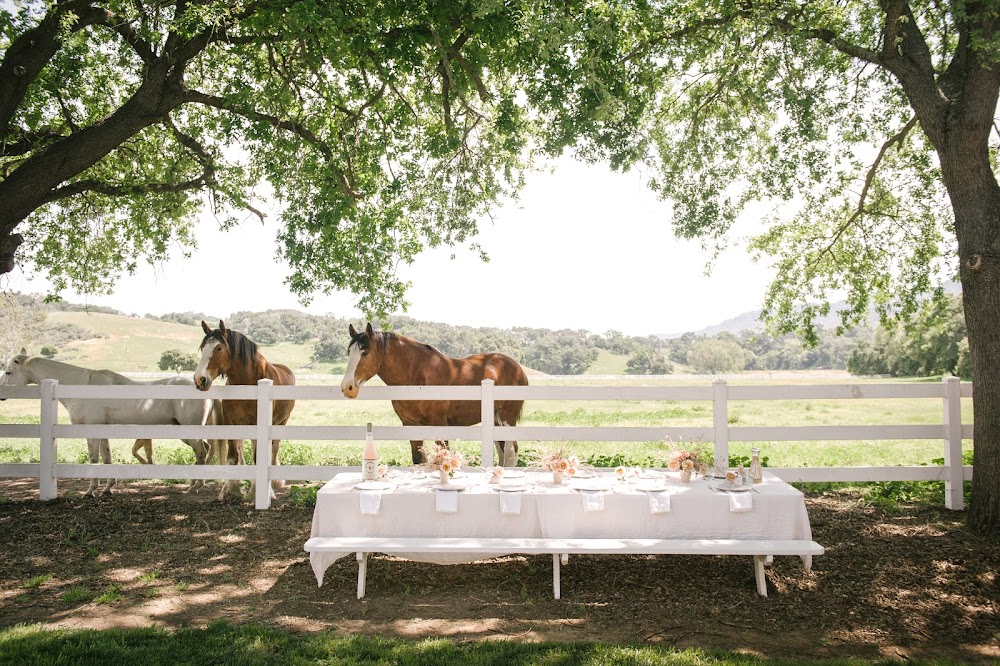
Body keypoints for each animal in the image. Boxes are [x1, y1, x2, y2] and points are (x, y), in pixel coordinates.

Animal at [0, 350, 220, 496]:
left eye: (9, 372)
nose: (2, 394)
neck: (83, 386)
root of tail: (203, 387)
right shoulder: (102, 430)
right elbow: (106, 458)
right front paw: (107, 488)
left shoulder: (91, 430)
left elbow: (94, 459)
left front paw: (90, 491)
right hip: (183, 431)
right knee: (205, 450)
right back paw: (195, 483)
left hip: (189, 431)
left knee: (201, 452)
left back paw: (196, 486)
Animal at [191, 318, 292, 498]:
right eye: (203, 347)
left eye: (219, 348)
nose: (200, 379)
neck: (248, 381)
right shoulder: (232, 422)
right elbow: (233, 456)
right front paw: (232, 489)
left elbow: (259, 457)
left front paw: (256, 492)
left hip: (281, 422)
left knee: (273, 450)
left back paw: (273, 485)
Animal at [342, 320, 532, 464]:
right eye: (349, 352)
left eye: (365, 352)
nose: (347, 387)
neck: (417, 376)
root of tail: (517, 368)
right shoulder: (411, 425)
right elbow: (419, 460)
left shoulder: (439, 424)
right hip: (495, 419)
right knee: (502, 450)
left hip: (507, 419)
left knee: (511, 451)